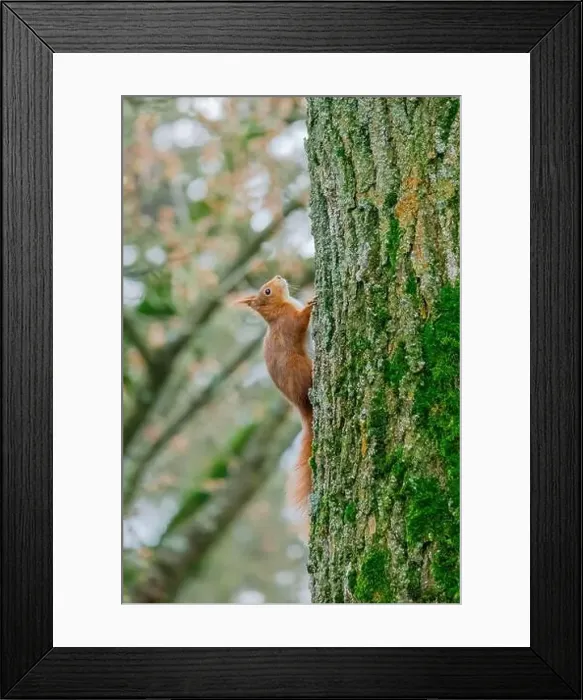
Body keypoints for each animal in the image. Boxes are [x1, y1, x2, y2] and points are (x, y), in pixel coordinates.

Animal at [238, 275, 315, 516]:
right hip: (300, 367)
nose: (279, 277)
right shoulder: (289, 322)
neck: (279, 310)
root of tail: (302, 407)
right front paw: (311, 305)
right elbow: (300, 322)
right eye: (267, 291)